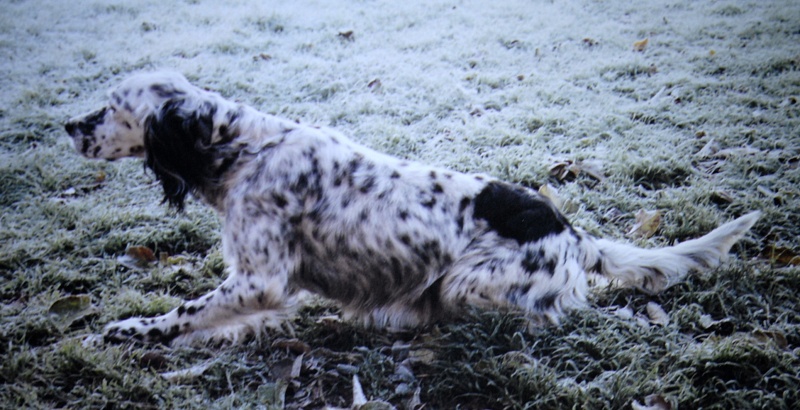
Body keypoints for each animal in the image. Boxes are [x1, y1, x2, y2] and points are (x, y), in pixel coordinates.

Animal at [65, 72, 760, 344]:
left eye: (110, 106)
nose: (69, 125)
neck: (242, 152)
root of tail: (573, 234)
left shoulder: (260, 279)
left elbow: (179, 314)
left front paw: (125, 332)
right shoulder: (258, 285)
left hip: (465, 284)